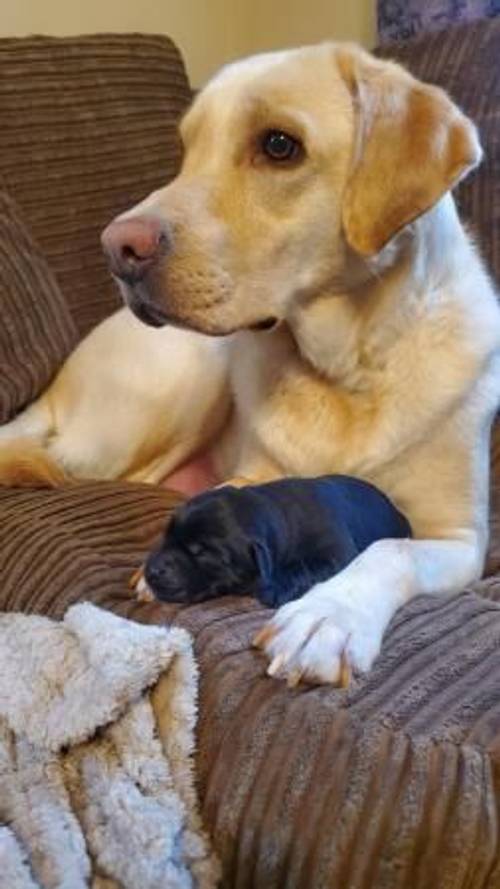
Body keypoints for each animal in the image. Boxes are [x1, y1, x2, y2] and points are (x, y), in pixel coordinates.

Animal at [143, 476, 412, 608]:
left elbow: (304, 566)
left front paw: (277, 587)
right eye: (166, 536)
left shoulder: (336, 551)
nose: (151, 571)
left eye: (201, 552)